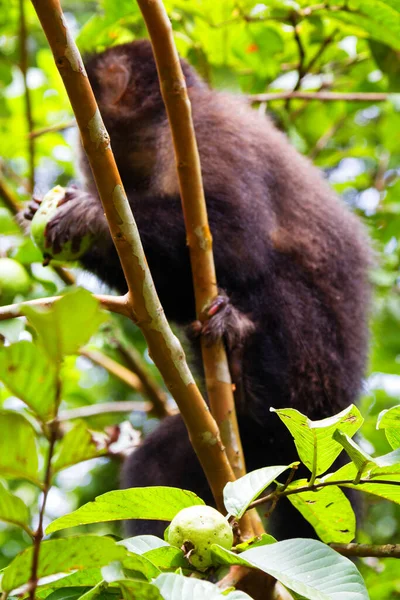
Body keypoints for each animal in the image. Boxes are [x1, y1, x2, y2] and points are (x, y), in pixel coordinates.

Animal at [23, 41, 370, 540]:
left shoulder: (205, 132)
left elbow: (235, 239)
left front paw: (89, 215)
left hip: (316, 378)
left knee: (270, 278)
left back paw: (243, 355)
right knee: (156, 466)